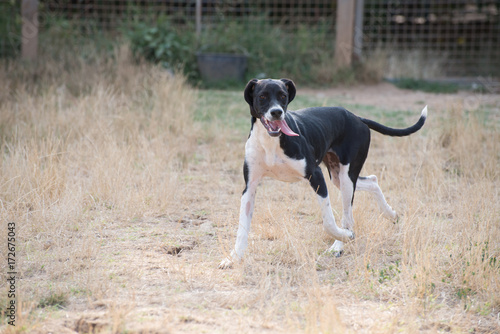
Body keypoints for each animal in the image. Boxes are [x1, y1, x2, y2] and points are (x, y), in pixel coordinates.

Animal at [219, 78, 426, 268]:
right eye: (262, 96)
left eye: (283, 96)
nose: (277, 112)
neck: (272, 143)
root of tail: (358, 118)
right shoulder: (249, 187)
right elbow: (242, 226)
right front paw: (234, 258)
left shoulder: (316, 175)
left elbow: (328, 222)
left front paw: (345, 236)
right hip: (338, 177)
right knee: (373, 181)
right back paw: (391, 214)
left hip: (346, 179)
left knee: (347, 217)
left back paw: (339, 245)